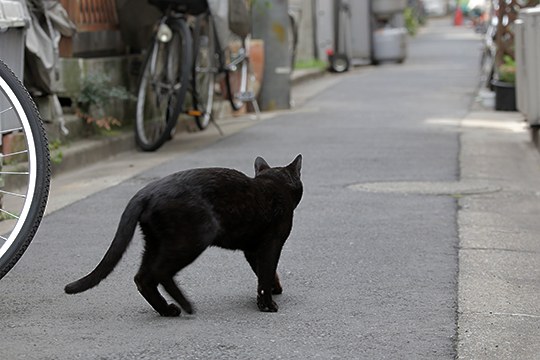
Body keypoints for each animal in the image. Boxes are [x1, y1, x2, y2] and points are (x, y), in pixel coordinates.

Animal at [65, 155, 302, 316]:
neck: (274, 183)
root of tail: (146, 193)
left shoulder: (252, 250)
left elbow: (264, 273)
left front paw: (274, 289)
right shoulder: (271, 244)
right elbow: (266, 273)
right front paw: (267, 305)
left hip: (155, 243)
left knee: (142, 278)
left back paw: (168, 310)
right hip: (193, 239)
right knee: (159, 273)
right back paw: (186, 306)